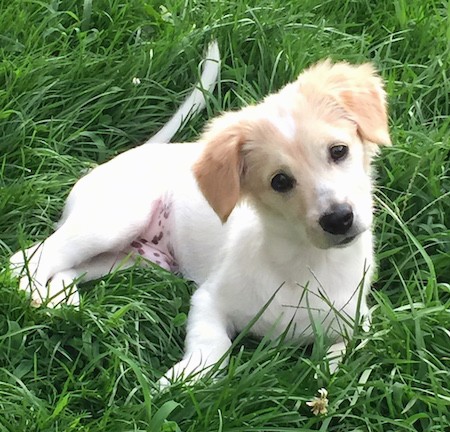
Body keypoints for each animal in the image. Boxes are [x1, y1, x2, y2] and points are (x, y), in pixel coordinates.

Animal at [10, 45, 390, 386]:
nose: (339, 219)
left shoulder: (359, 323)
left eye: (338, 151)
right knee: (29, 258)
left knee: (66, 269)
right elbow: (213, 346)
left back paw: (64, 302)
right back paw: (35, 297)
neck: (307, 266)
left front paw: (325, 377)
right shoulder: (208, 300)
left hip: (129, 259)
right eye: (280, 181)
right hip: (111, 223)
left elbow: (341, 355)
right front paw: (185, 377)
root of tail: (140, 151)